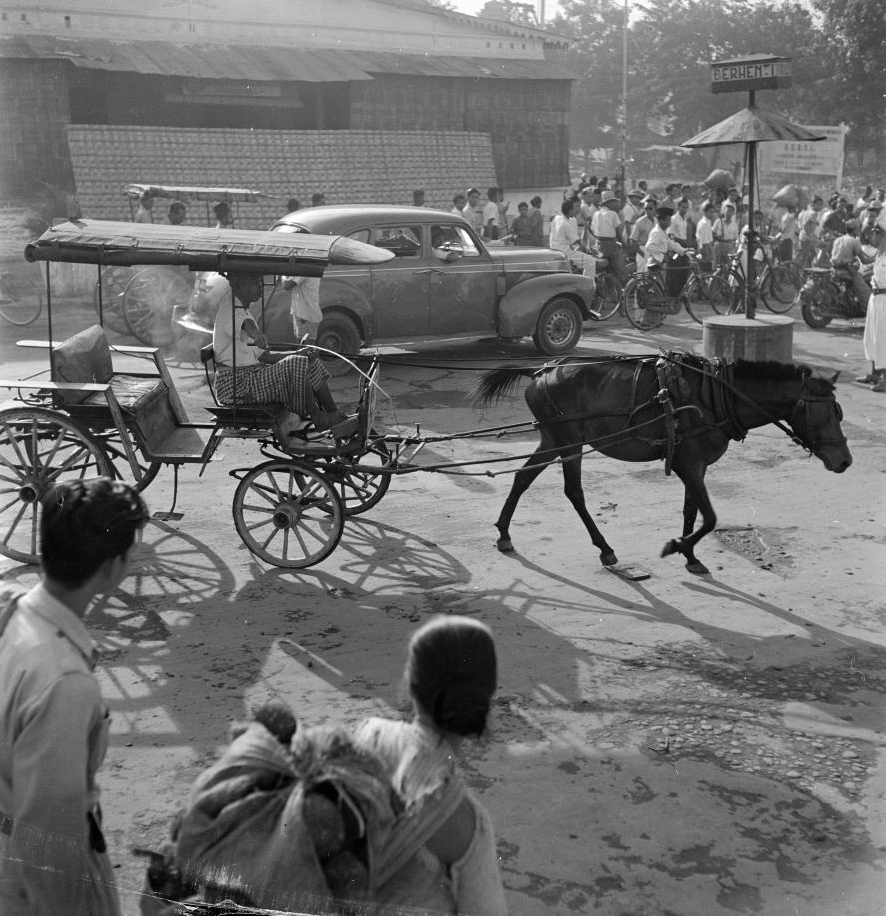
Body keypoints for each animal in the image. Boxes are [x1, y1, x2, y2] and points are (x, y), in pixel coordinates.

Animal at [476, 350, 856, 572]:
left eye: (839, 412)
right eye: (827, 412)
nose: (845, 461)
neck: (718, 395)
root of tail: (541, 370)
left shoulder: (694, 465)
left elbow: (691, 511)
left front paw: (690, 555)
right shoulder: (691, 465)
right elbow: (710, 517)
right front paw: (677, 546)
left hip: (552, 439)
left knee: (523, 477)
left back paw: (504, 533)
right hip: (569, 440)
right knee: (573, 491)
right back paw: (605, 548)